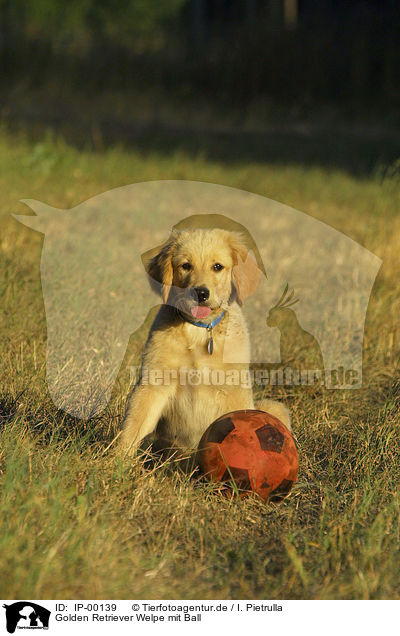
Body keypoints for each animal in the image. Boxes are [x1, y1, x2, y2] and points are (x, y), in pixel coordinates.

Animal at [120, 229, 290, 458]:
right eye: (186, 266)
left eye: (217, 266)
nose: (200, 293)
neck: (200, 330)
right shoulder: (154, 381)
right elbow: (134, 425)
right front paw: (115, 461)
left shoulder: (233, 389)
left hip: (273, 407)